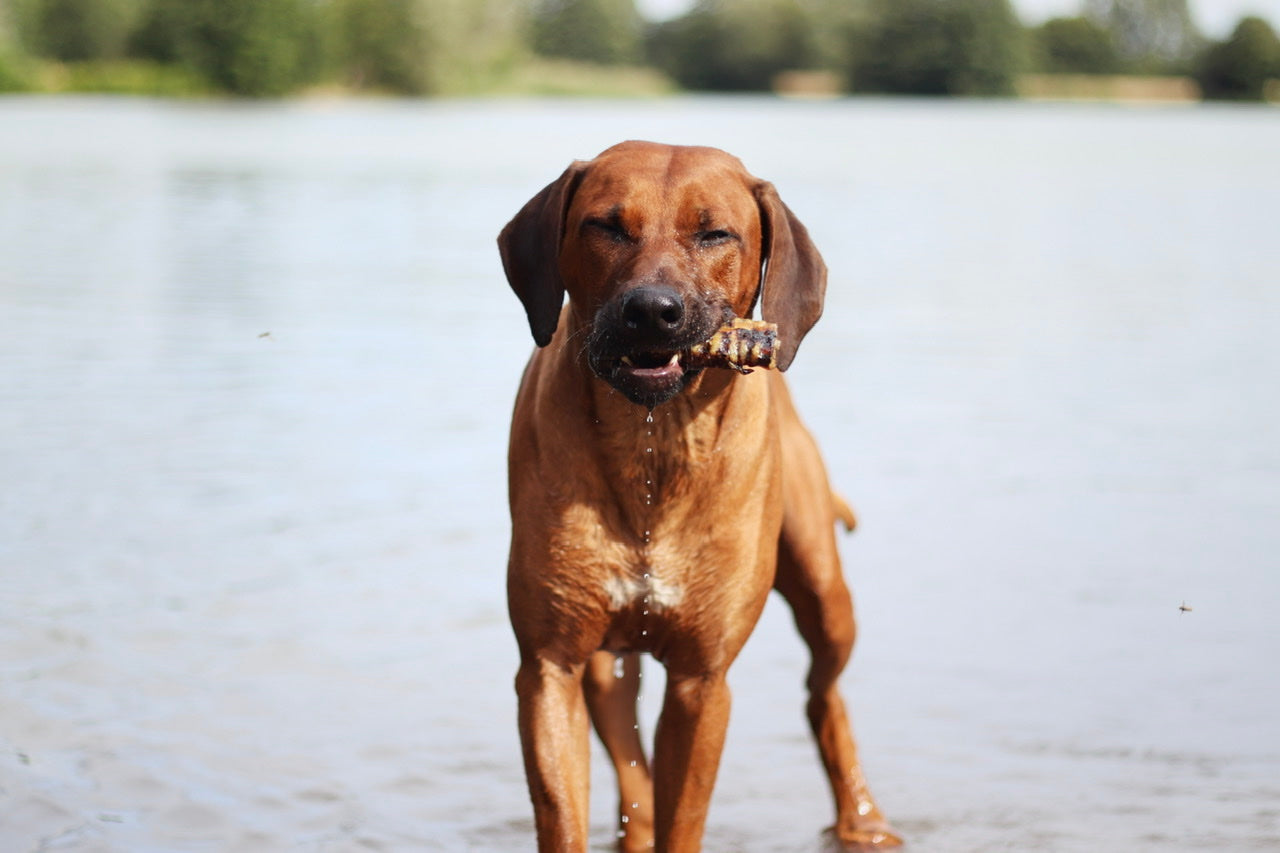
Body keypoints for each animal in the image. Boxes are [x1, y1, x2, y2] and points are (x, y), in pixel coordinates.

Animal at [494, 140, 896, 850]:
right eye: (606, 225)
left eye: (715, 234)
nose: (652, 310)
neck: (652, 450)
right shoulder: (549, 665)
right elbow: (566, 809)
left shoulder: (701, 680)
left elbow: (684, 814)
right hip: (604, 662)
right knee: (631, 760)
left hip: (824, 590)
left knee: (823, 693)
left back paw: (862, 820)